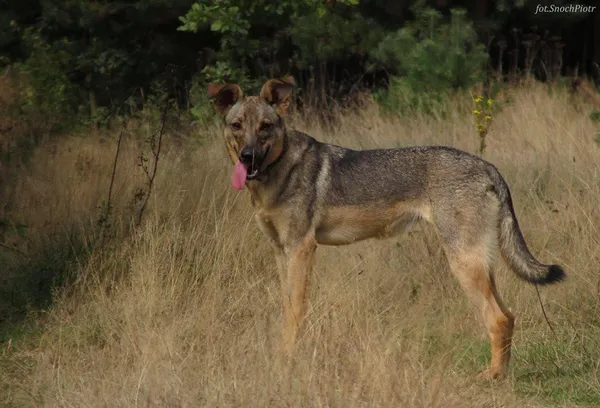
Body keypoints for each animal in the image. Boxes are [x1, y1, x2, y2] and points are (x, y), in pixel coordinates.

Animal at [207, 76, 568, 380]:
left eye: (265, 127)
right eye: (237, 126)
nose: (247, 157)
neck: (277, 171)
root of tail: (489, 168)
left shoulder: (301, 248)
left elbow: (296, 310)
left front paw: (289, 360)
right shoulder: (281, 252)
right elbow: (287, 308)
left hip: (464, 264)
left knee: (498, 318)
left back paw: (491, 377)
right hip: (481, 265)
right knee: (509, 316)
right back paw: (501, 373)